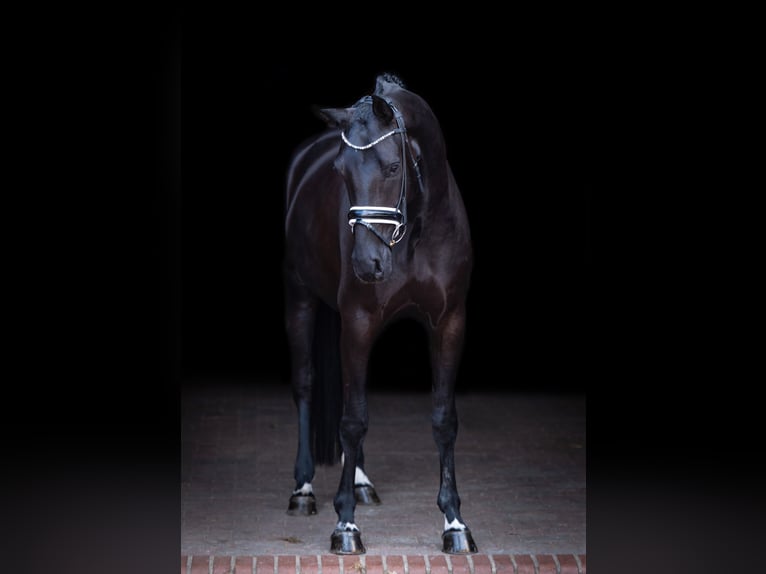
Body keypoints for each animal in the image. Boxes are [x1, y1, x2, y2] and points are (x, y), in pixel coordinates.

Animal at [283, 73, 476, 555]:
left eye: (392, 167)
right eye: (341, 172)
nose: (366, 264)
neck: (418, 233)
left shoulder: (450, 323)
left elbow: (444, 420)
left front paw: (455, 522)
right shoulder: (358, 320)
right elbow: (353, 421)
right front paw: (345, 526)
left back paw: (363, 482)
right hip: (299, 297)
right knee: (306, 385)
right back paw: (303, 490)